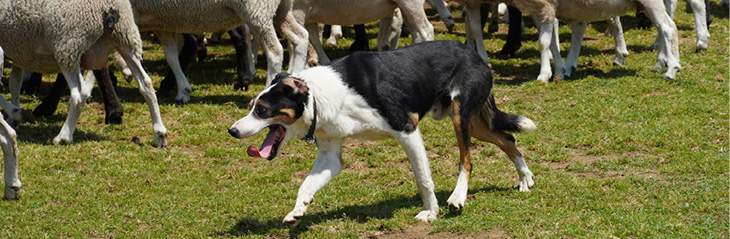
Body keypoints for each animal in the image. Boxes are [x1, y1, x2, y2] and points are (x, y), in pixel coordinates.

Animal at [0, 0, 167, 147]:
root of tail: (108, 6)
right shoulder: (19, 51)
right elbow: (15, 83)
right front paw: (14, 119)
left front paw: (16, 115)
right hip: (124, 37)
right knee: (146, 83)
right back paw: (159, 134)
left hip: (69, 45)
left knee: (80, 95)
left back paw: (63, 137)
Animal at [127, 0, 308, 102]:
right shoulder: (160, 21)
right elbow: (171, 57)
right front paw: (182, 91)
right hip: (281, 10)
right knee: (300, 37)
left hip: (256, 11)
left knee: (275, 50)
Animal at [228, 40, 536, 225]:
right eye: (251, 105)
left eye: (261, 110)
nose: (232, 131)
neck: (322, 97)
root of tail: (473, 52)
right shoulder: (330, 155)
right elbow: (306, 184)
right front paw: (298, 210)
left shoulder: (407, 130)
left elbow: (423, 180)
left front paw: (431, 212)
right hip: (473, 122)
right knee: (508, 138)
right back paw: (525, 179)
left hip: (462, 117)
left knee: (467, 160)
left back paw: (458, 198)